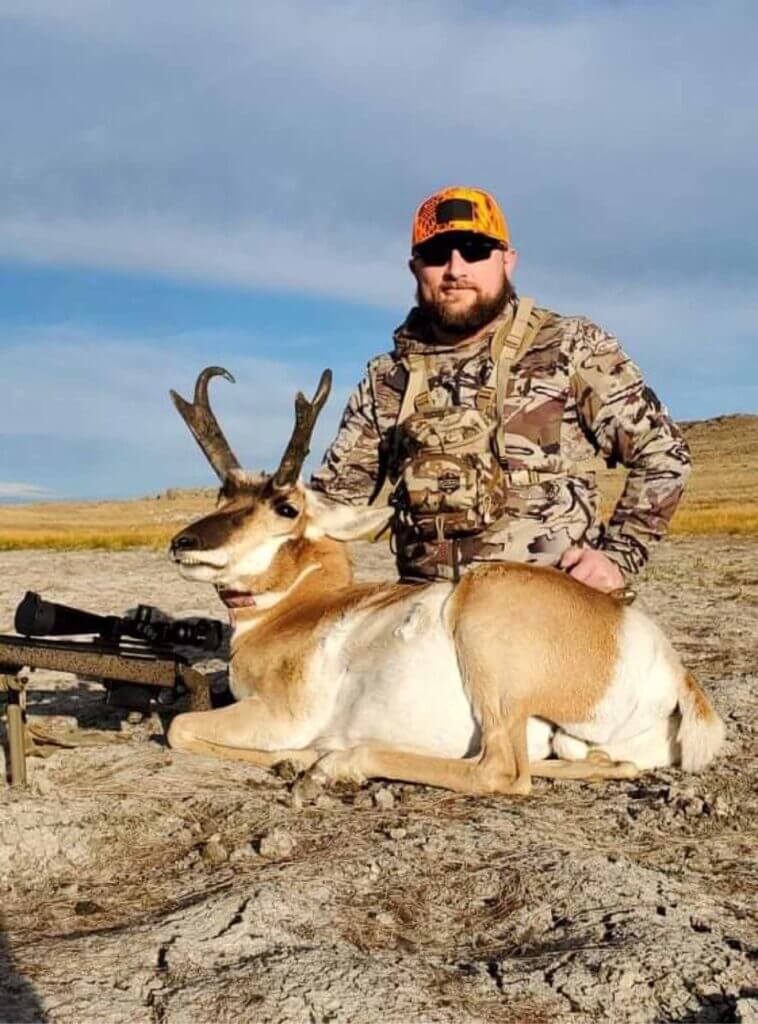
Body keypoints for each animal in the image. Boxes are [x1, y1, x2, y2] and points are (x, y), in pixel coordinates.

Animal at [166, 366, 725, 795]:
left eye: (285, 508)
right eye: (223, 496)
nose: (182, 543)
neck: (299, 609)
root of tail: (672, 668)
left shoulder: (280, 715)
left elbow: (179, 727)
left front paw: (302, 757)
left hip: (487, 641)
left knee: (503, 771)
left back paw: (336, 763)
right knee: (604, 764)